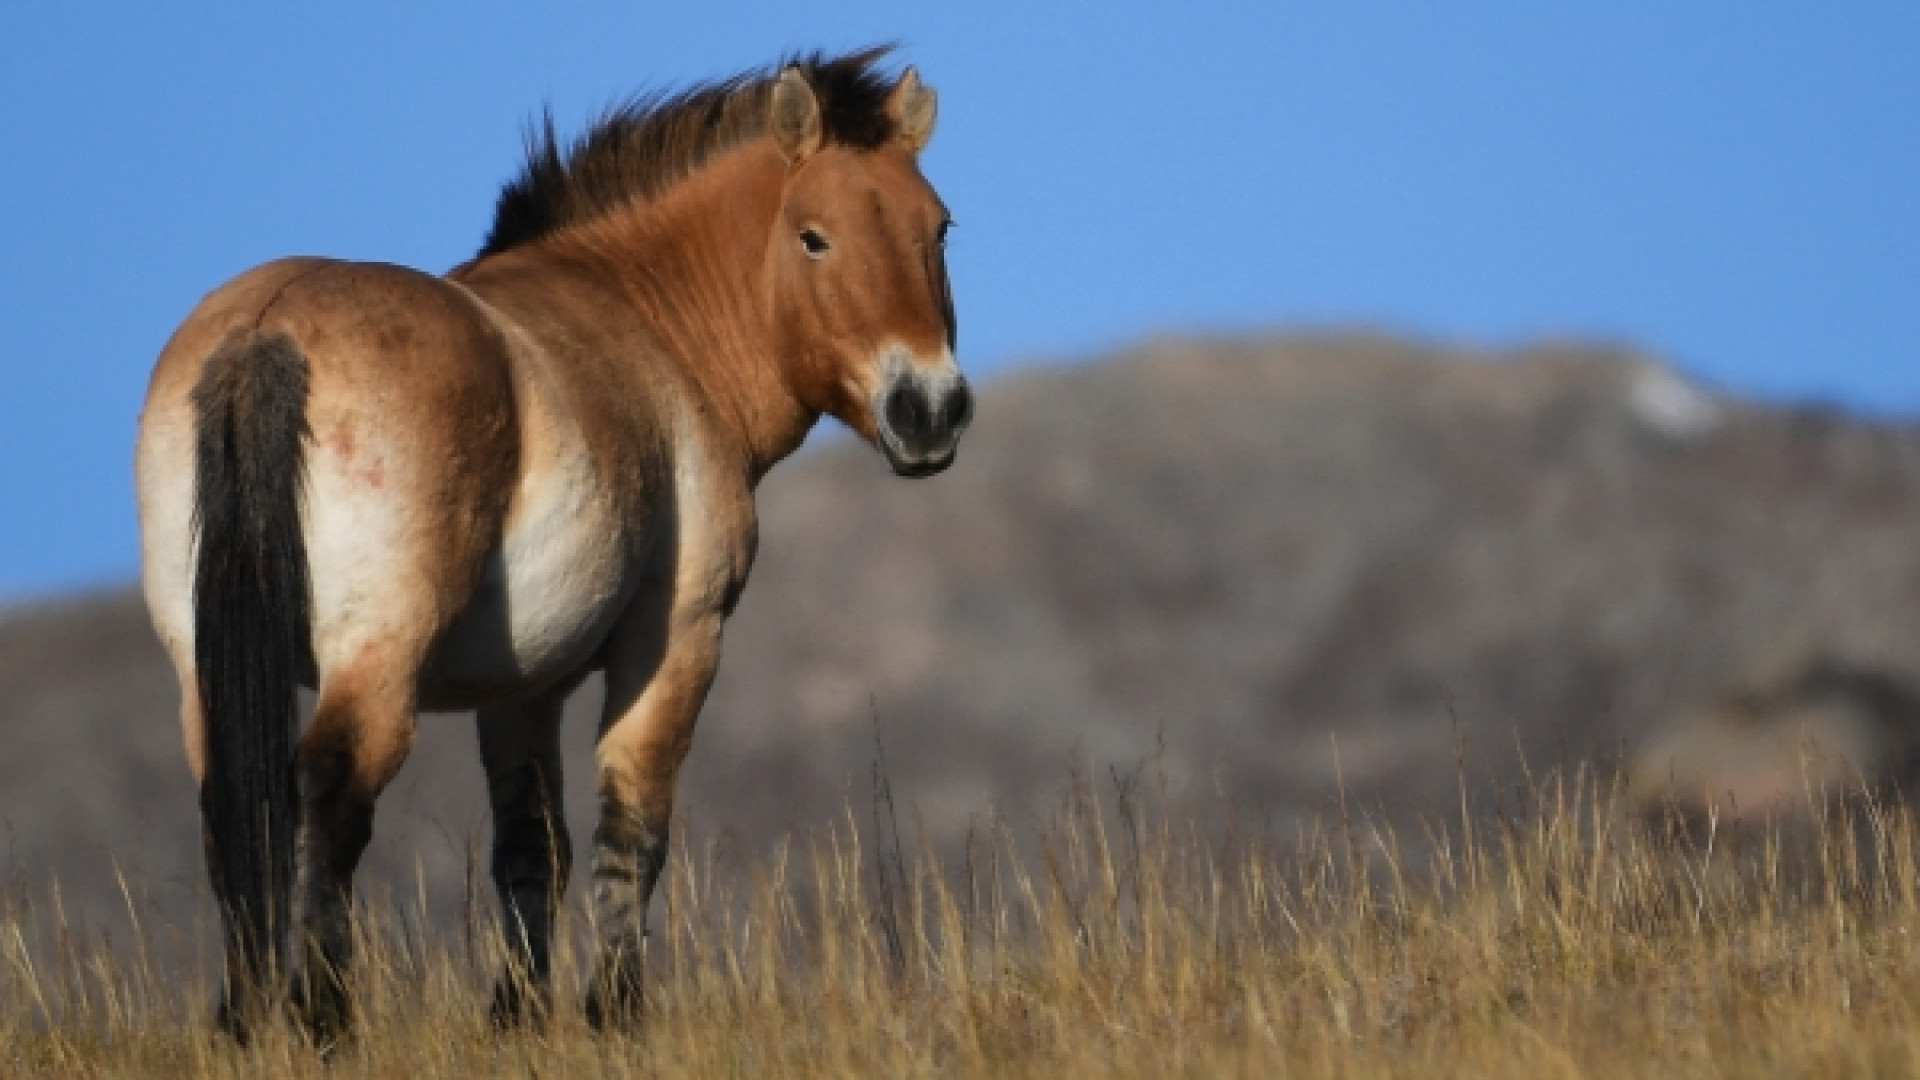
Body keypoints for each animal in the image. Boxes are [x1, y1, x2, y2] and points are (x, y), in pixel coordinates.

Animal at [133, 48, 967, 1037]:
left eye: (939, 230)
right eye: (814, 237)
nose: (930, 411)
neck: (652, 326)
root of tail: (269, 329)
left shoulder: (520, 688)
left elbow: (533, 850)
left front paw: (518, 1017)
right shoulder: (674, 642)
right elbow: (629, 832)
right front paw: (613, 1011)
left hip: (203, 665)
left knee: (238, 804)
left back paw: (244, 1019)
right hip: (376, 657)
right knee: (329, 791)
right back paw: (323, 1017)